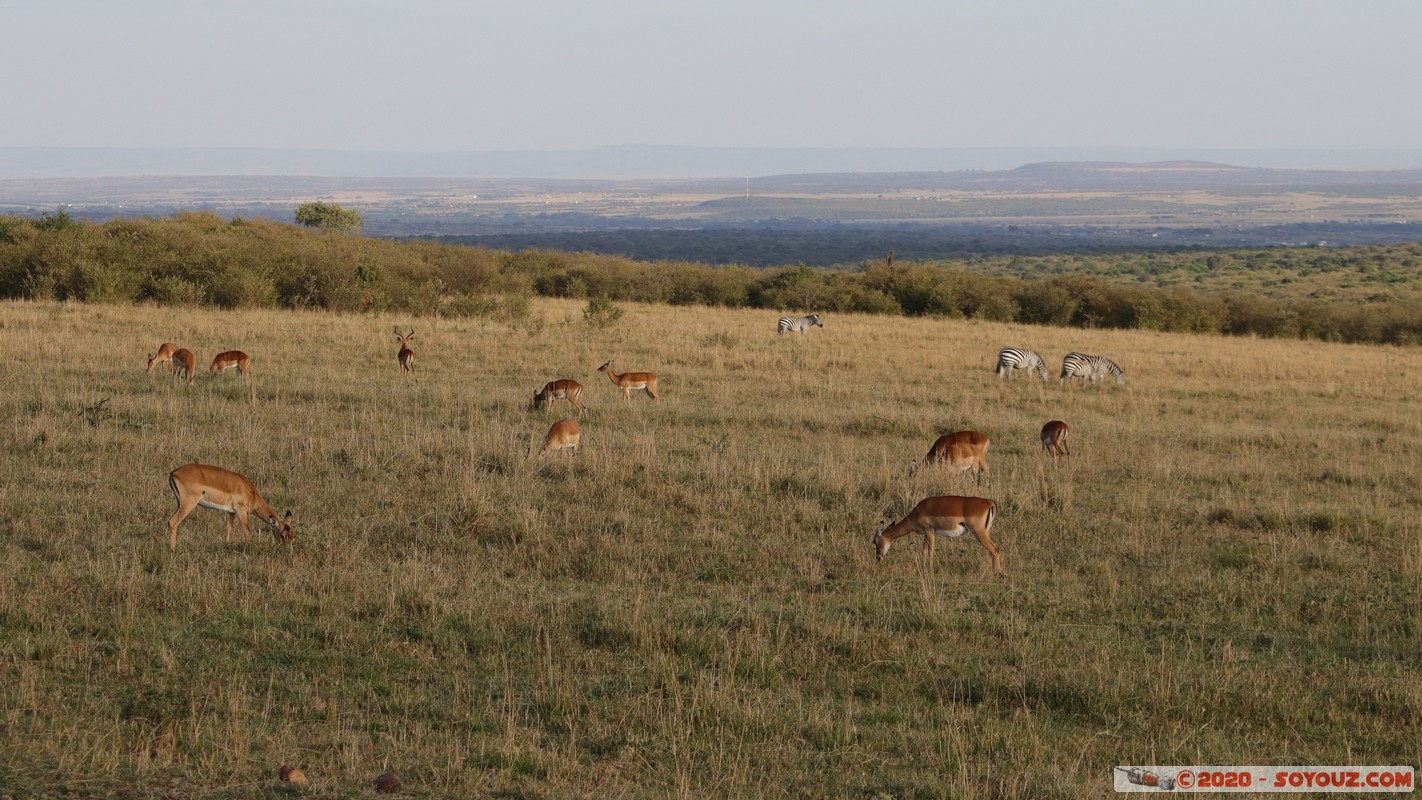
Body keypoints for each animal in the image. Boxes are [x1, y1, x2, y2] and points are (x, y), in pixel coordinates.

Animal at [873, 495, 1002, 574]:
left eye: (874, 541)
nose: (878, 558)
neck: (917, 512)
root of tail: (989, 503)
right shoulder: (926, 534)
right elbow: (924, 550)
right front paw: (923, 567)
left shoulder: (930, 532)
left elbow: (930, 551)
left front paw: (930, 569)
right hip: (986, 532)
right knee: (995, 549)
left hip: (979, 533)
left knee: (994, 549)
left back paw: (997, 573)